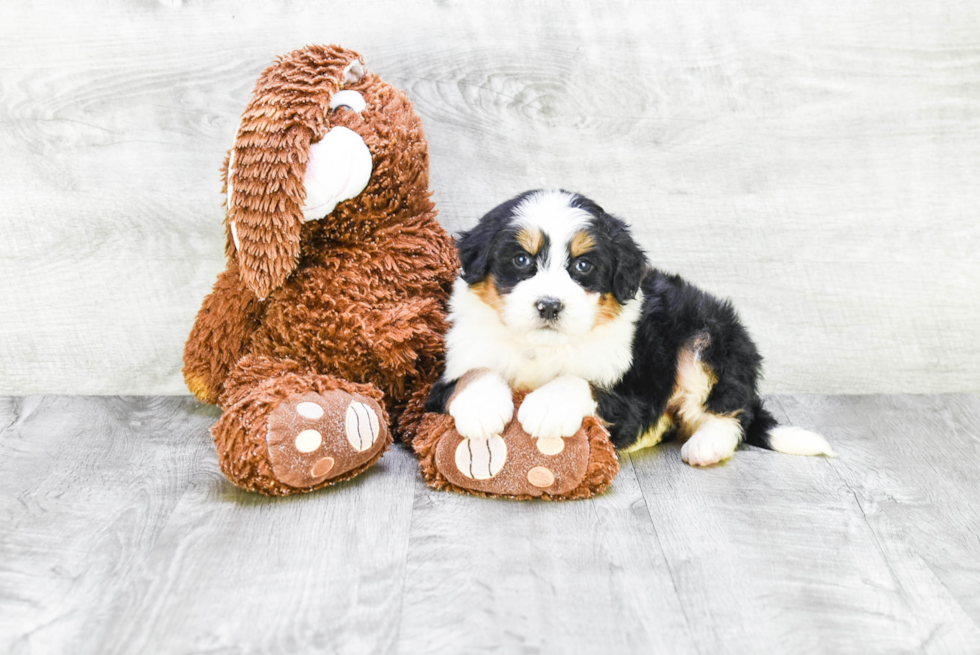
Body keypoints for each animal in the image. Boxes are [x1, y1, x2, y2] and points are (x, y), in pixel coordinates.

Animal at [424, 190, 832, 466]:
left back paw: (707, 445)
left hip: (708, 336)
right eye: (521, 260)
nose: (550, 305)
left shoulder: (633, 395)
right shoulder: (447, 374)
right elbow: (474, 372)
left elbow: (580, 381)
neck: (542, 347)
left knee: (733, 408)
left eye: (583, 266)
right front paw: (481, 407)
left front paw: (546, 406)